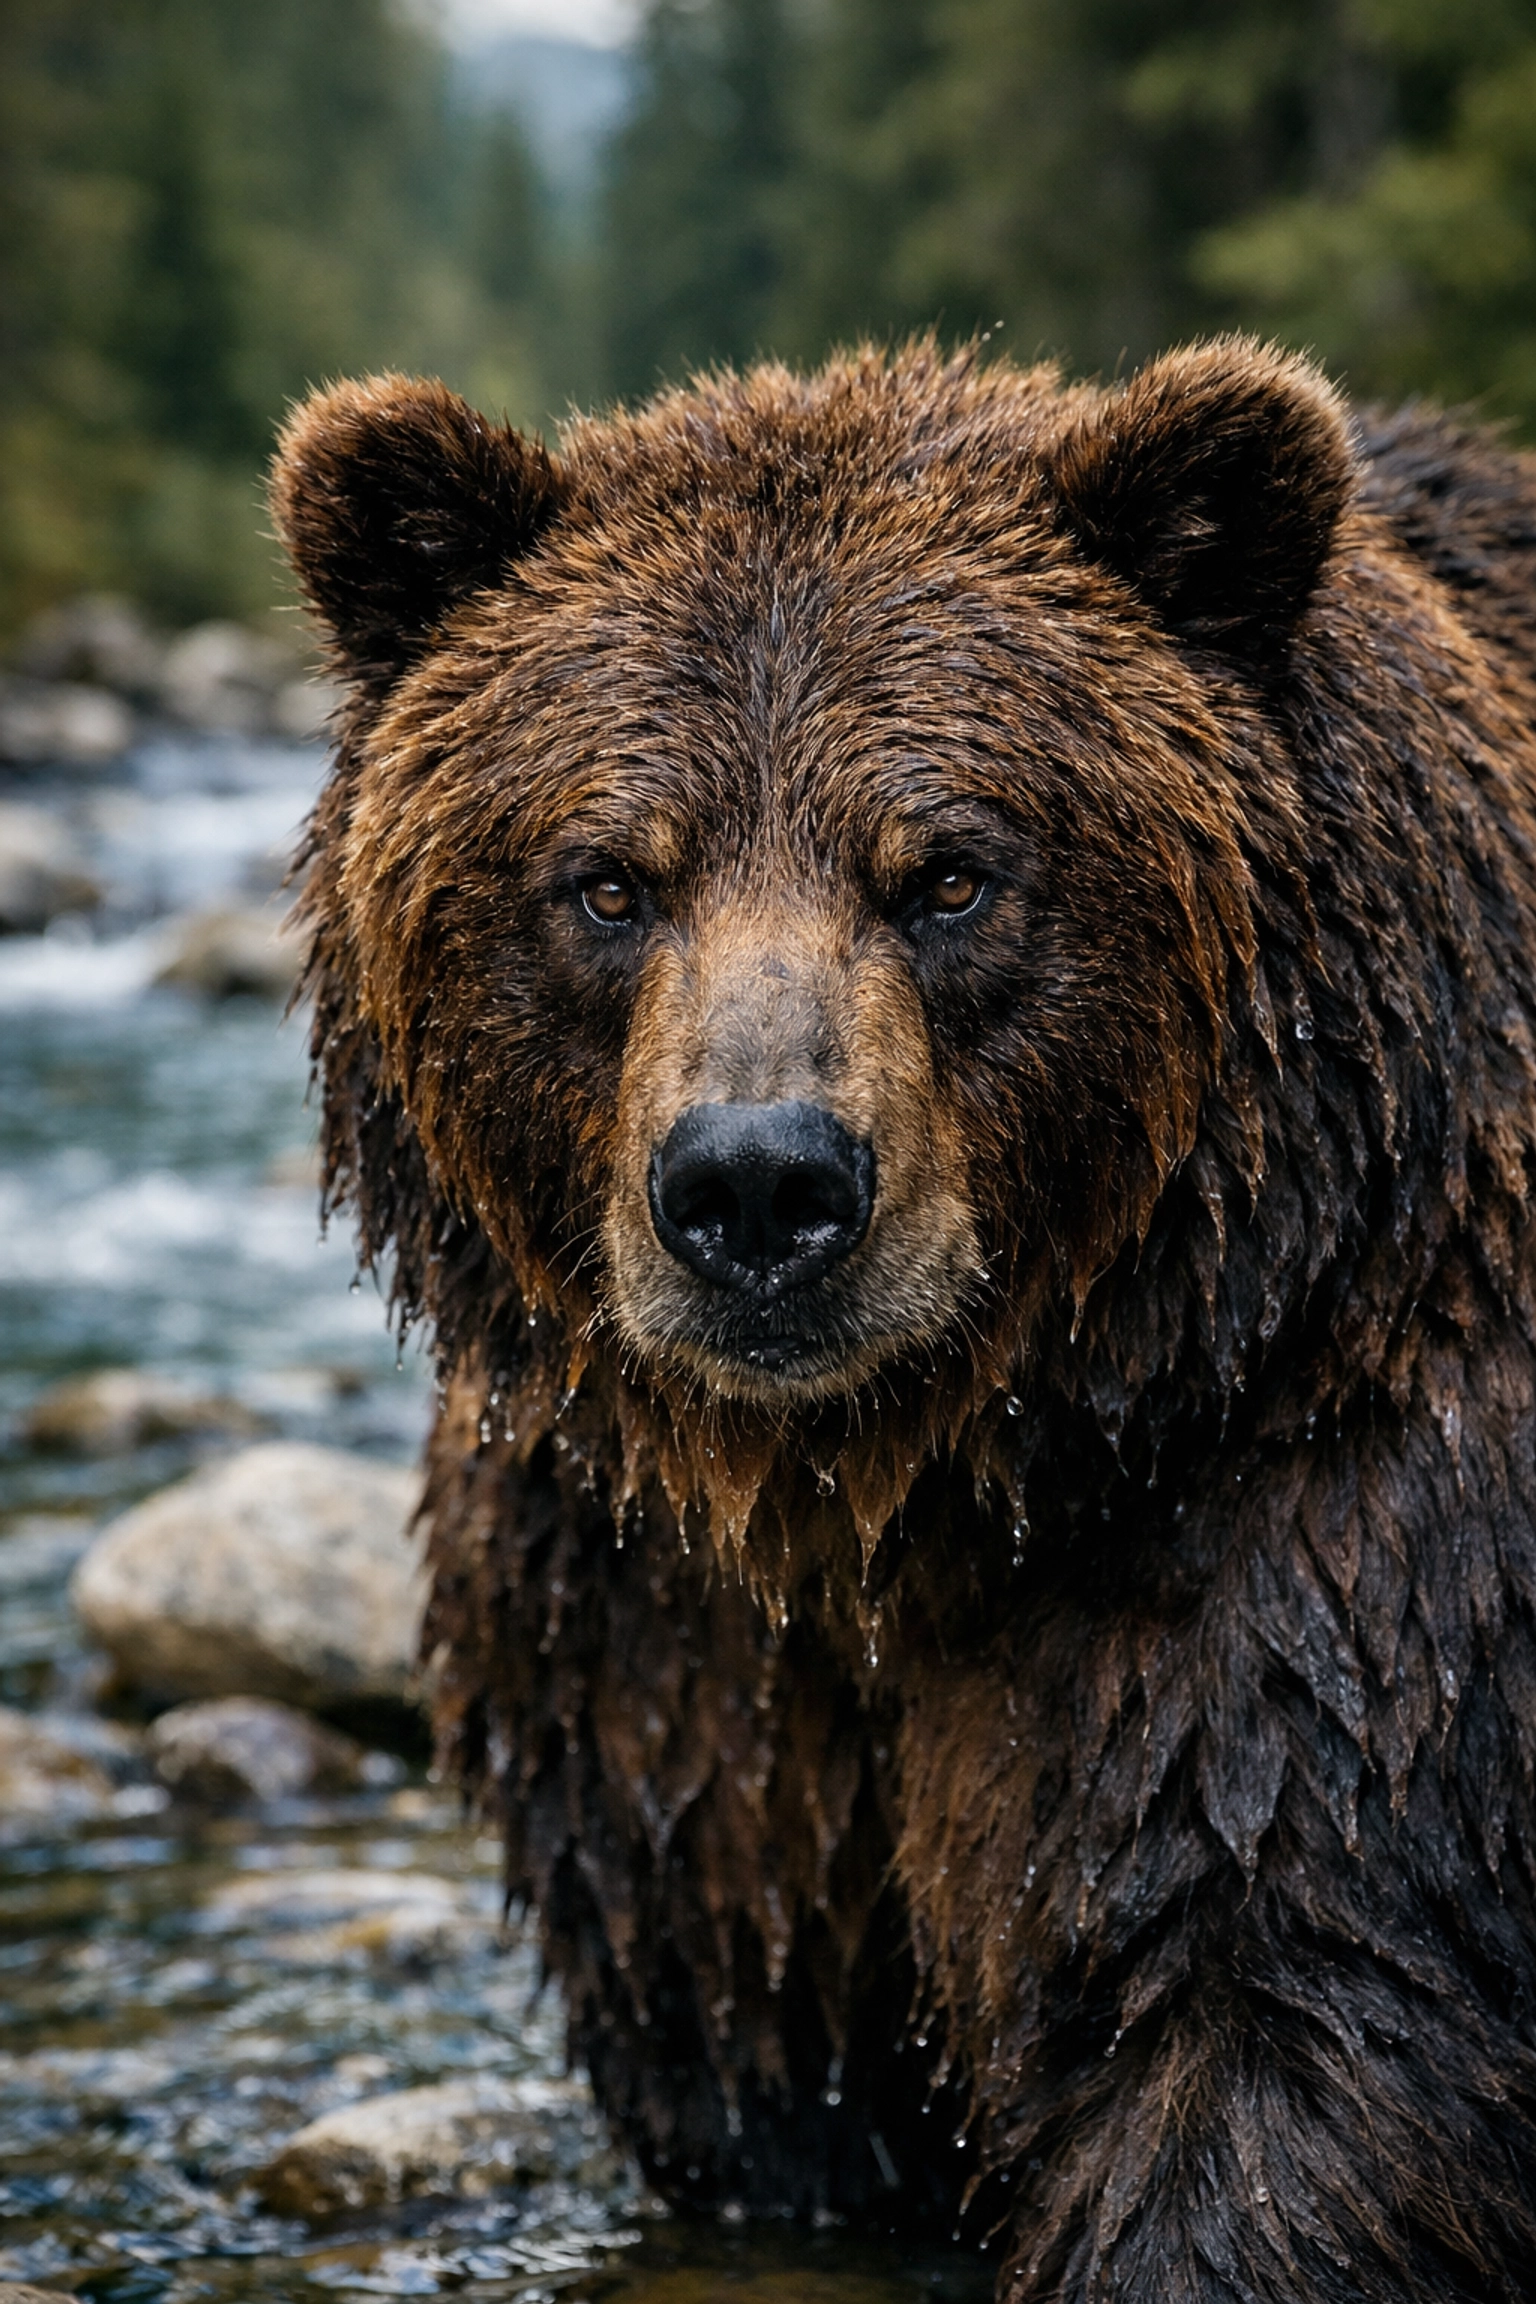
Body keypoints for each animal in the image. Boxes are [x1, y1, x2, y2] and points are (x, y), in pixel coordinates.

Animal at [270, 336, 1536, 2302]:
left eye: (948, 869)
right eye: (609, 878)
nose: (758, 1186)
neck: (899, 1490)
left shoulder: (1324, 1527)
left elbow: (1274, 2031)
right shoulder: (668, 1663)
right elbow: (758, 2060)